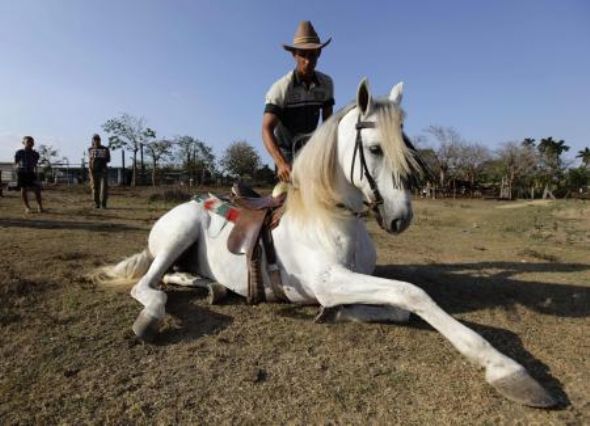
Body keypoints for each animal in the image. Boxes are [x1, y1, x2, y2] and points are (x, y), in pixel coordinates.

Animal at [96, 78, 556, 408]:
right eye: (375, 148)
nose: (401, 218)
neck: (331, 218)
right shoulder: (329, 280)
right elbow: (413, 294)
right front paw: (503, 367)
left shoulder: (351, 282)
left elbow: (398, 308)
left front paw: (340, 314)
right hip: (181, 232)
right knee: (148, 285)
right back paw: (153, 315)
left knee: (174, 276)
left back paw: (211, 286)